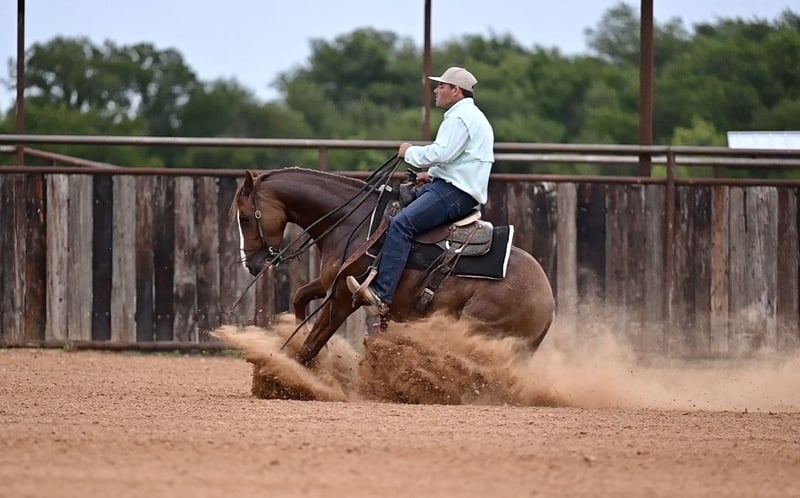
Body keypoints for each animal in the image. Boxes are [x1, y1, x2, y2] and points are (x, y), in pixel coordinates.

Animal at [232, 167, 555, 365]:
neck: (355, 222)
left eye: (245, 218)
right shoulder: (330, 282)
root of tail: (548, 300)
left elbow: (314, 342)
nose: (253, 264)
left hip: (477, 325)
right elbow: (300, 298)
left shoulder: (344, 297)